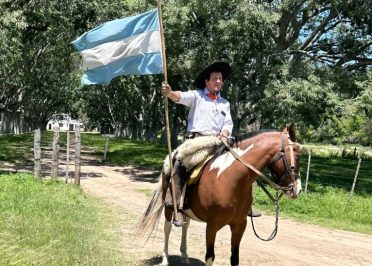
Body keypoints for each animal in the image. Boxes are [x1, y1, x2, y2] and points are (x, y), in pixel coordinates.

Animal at [138, 125, 300, 266]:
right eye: (296, 153)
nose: (296, 190)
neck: (231, 180)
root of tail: (169, 159)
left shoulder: (240, 225)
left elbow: (235, 258)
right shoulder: (212, 225)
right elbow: (210, 257)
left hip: (187, 210)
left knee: (185, 226)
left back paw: (184, 256)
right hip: (169, 206)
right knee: (167, 228)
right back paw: (165, 259)